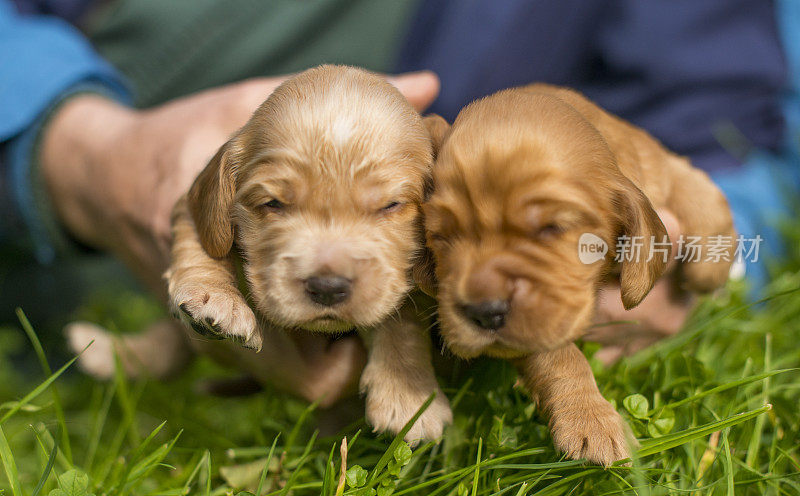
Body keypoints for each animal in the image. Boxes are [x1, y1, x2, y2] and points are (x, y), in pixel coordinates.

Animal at [164, 66, 450, 442]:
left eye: (390, 206)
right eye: (273, 204)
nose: (327, 288)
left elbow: (400, 314)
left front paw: (408, 397)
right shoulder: (188, 205)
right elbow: (200, 242)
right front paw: (214, 297)